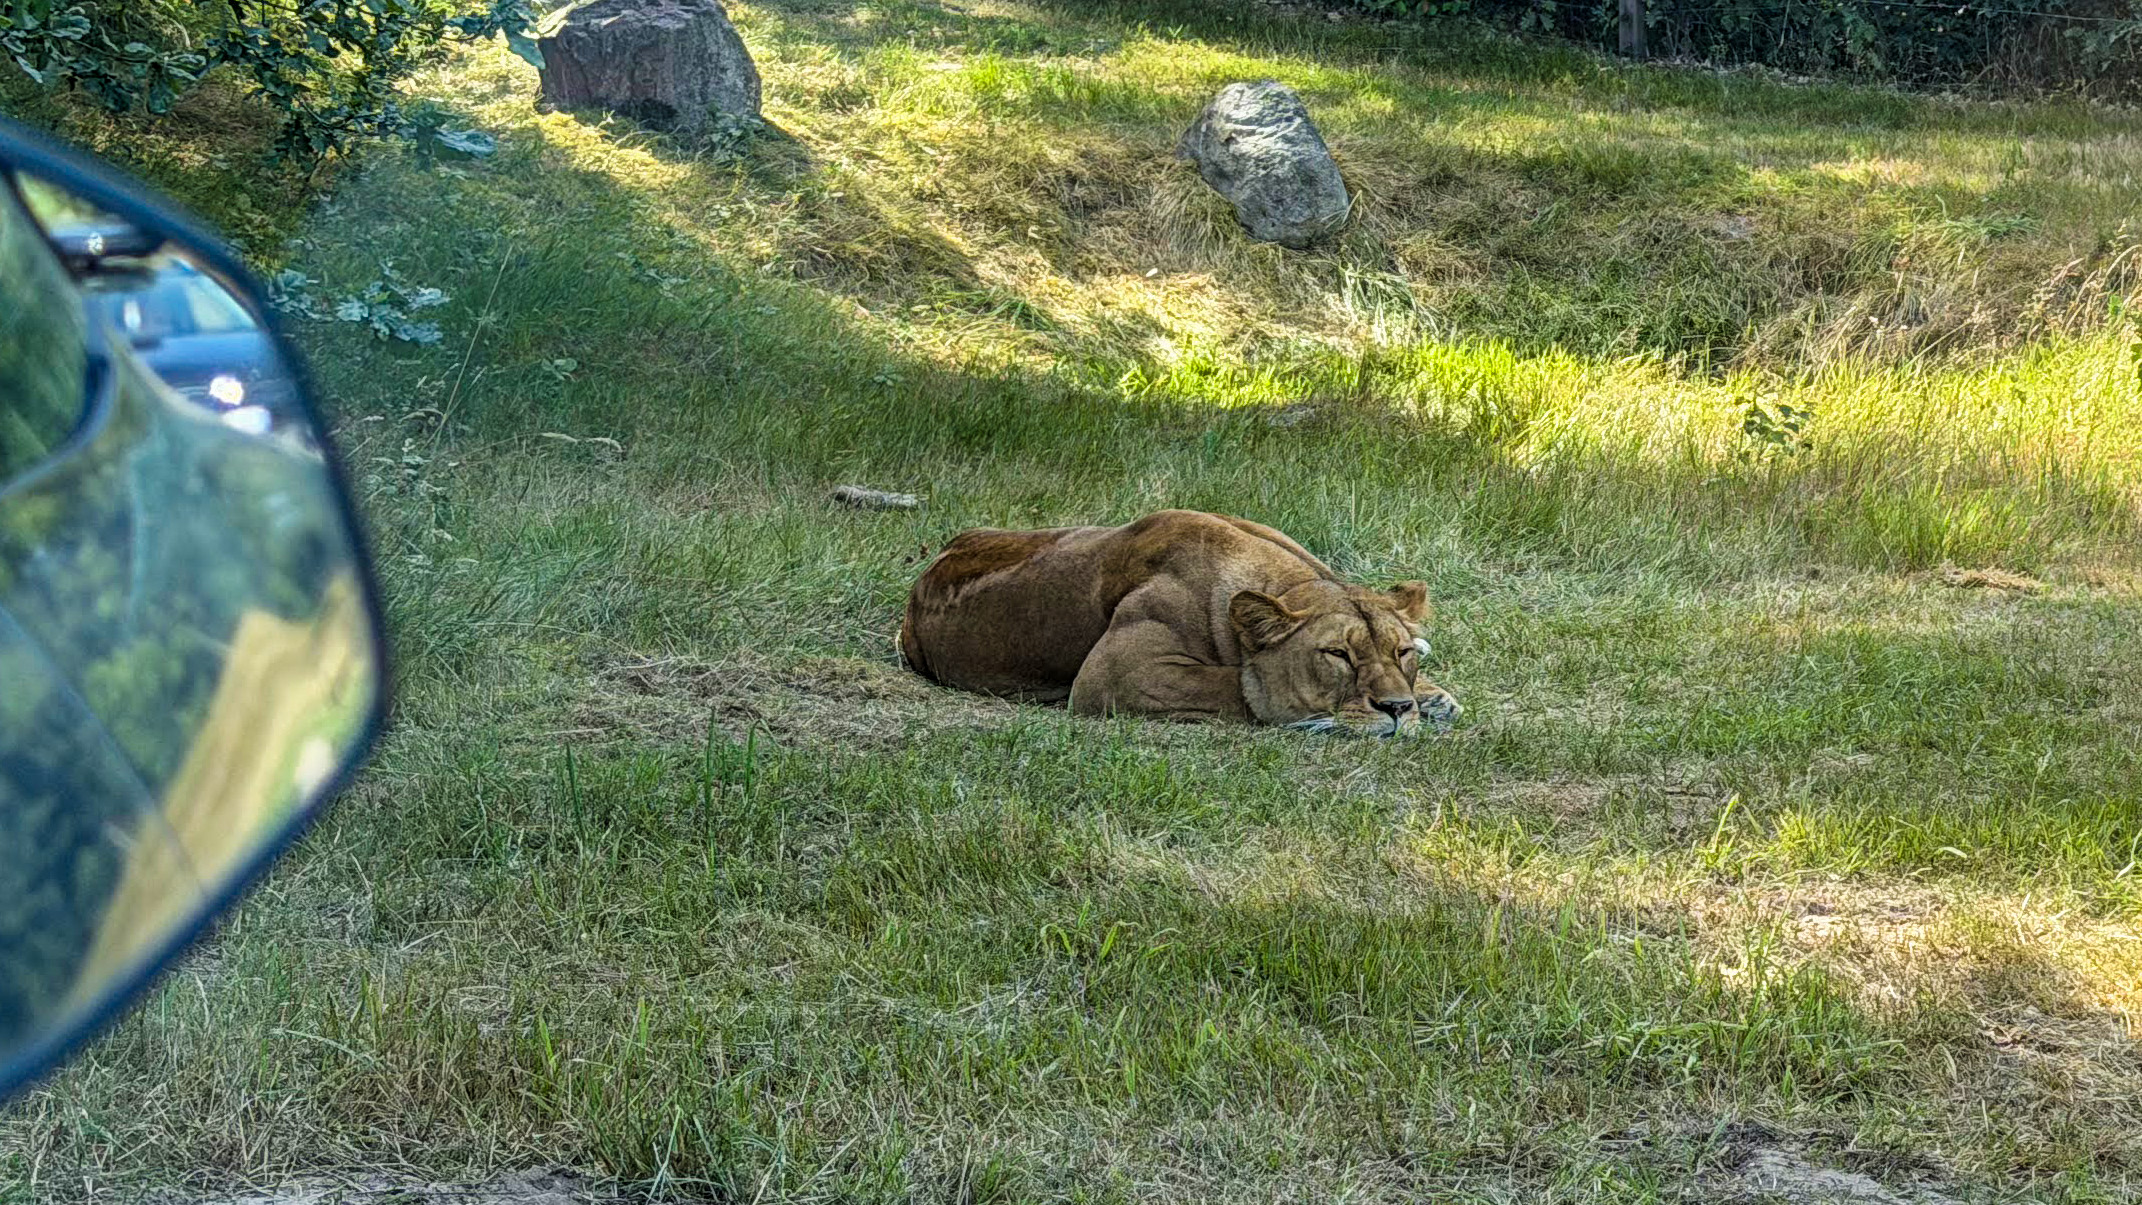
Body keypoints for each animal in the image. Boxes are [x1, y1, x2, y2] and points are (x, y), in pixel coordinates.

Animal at [899, 509, 1459, 737]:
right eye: (1338, 655)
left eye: (1400, 653)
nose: (1397, 709)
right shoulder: (1114, 673)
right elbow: (1233, 686)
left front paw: (1432, 695)